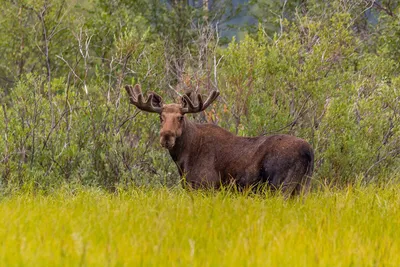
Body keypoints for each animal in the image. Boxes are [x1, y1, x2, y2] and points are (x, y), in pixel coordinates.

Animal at [125, 84, 312, 197]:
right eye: (161, 117)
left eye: (180, 117)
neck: (183, 158)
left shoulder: (205, 186)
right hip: (302, 188)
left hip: (281, 186)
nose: (166, 137)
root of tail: (309, 151)